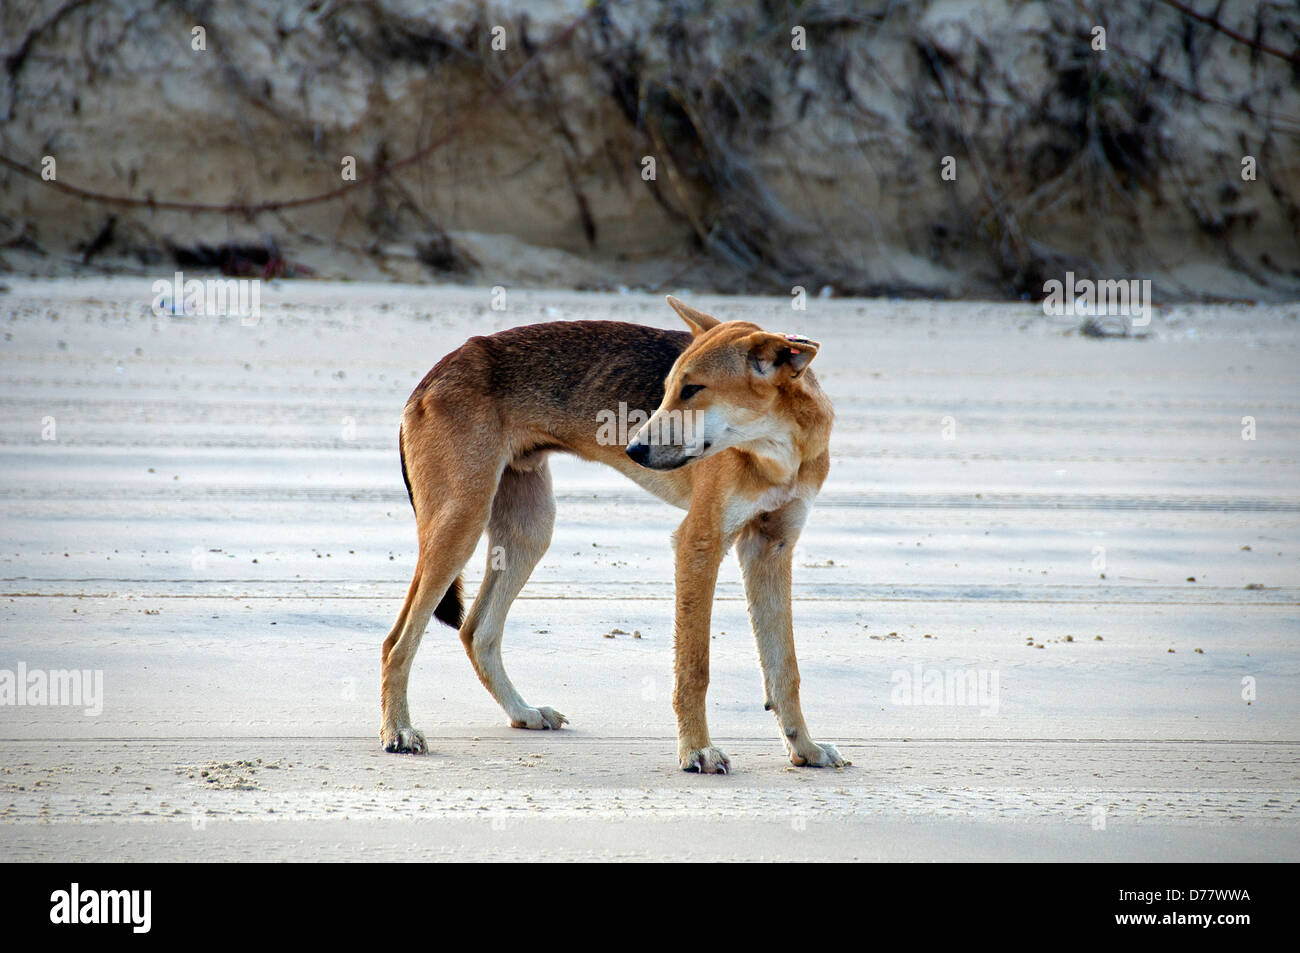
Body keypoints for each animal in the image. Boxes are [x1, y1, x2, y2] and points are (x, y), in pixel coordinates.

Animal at [379, 297, 842, 774]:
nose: (633, 449)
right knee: (396, 642)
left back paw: (522, 712)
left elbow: (785, 669)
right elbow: (695, 669)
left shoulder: (770, 548)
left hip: (530, 531)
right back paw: (399, 730)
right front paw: (696, 749)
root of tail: (434, 373)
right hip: (460, 527)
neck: (778, 449)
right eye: (668, 388)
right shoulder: (699, 544)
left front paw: (804, 748)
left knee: (476, 631)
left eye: (693, 390)